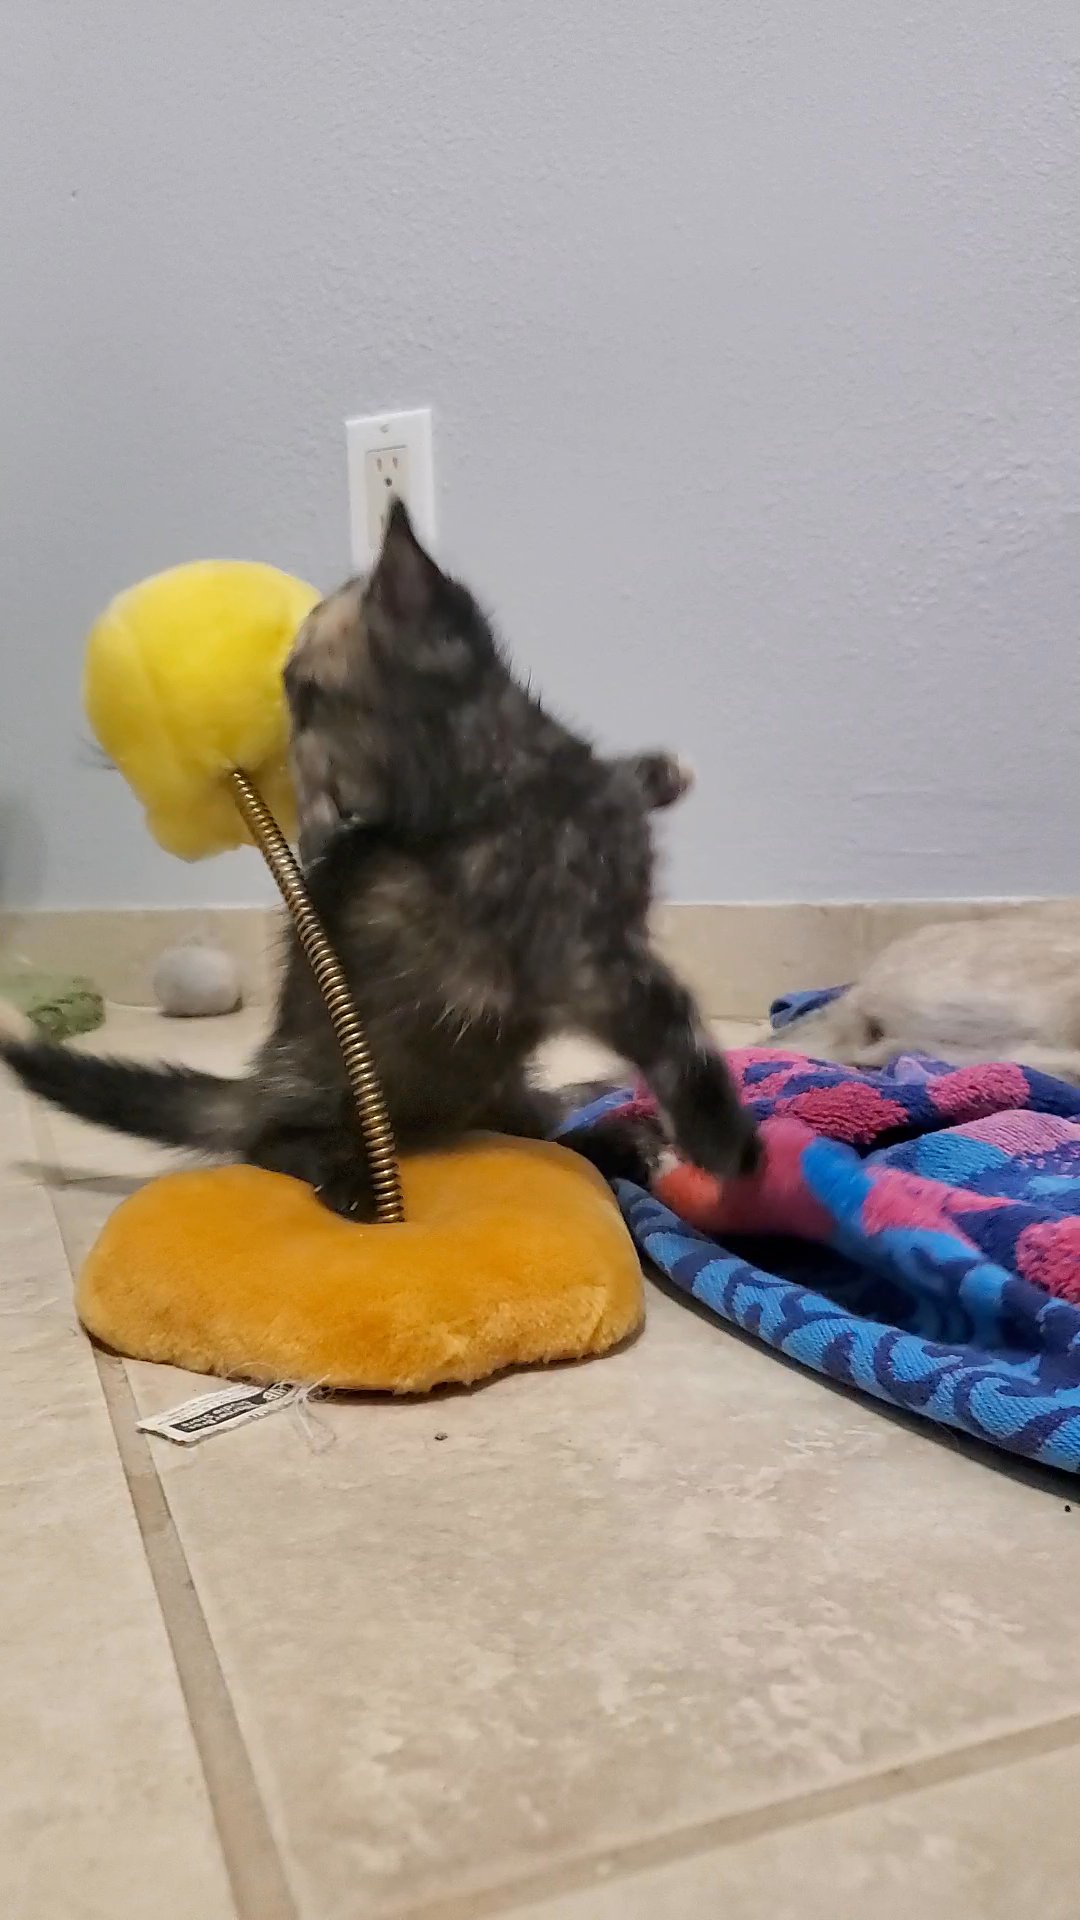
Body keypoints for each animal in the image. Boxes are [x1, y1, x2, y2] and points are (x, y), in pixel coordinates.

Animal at [2, 503, 757, 1205]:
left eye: (296, 683)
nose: (280, 697)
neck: (494, 773)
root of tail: (261, 1081)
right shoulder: (586, 958)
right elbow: (677, 1032)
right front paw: (729, 1146)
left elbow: (622, 777)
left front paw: (665, 770)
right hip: (342, 1095)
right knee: (270, 1143)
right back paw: (351, 1181)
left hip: (494, 1085)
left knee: (543, 1128)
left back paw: (617, 1135)